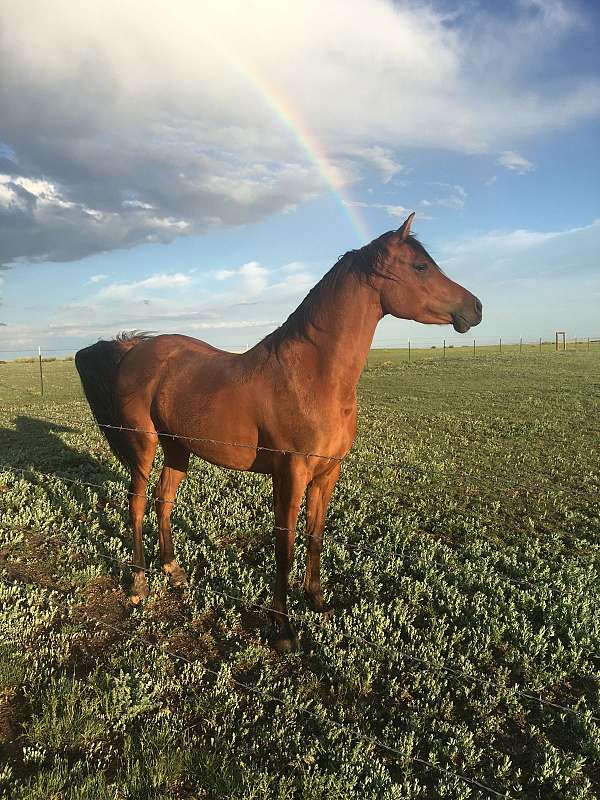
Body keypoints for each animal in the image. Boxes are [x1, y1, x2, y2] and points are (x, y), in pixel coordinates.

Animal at [76, 212, 482, 648]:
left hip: (178, 448)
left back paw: (175, 572)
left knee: (162, 500)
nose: (476, 308)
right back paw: (138, 585)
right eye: (421, 266)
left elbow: (315, 535)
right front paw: (284, 629)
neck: (312, 376)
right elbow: (284, 544)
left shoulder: (327, 472)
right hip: (144, 445)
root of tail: (134, 349)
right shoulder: (290, 473)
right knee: (136, 504)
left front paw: (317, 601)